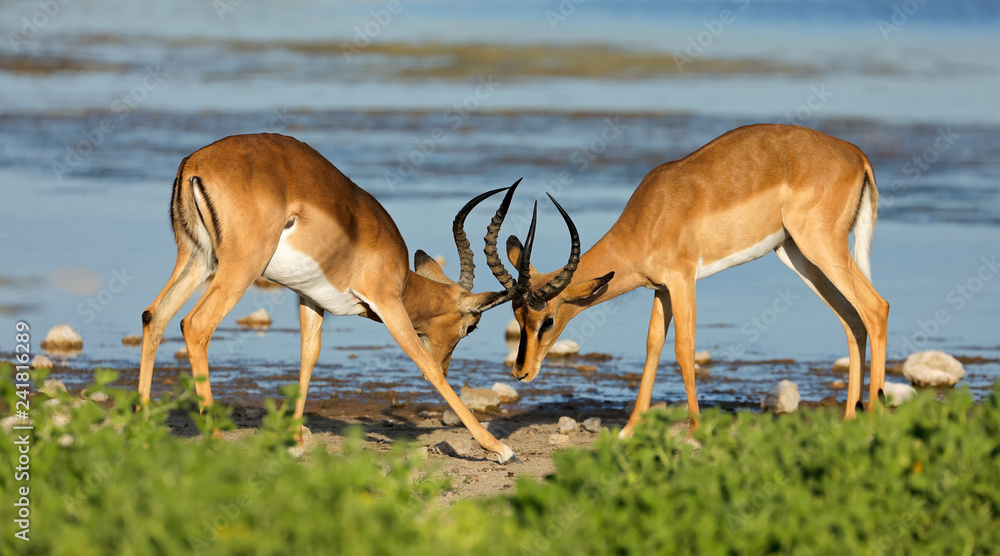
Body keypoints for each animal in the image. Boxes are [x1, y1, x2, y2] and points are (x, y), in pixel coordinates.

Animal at [138, 133, 530, 462]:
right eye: (470, 327)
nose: (448, 363)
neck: (401, 276)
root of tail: (193, 164)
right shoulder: (388, 302)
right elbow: (424, 365)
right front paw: (500, 448)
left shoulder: (310, 298)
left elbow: (308, 356)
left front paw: (296, 443)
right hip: (240, 268)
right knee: (195, 325)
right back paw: (215, 443)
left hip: (197, 259)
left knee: (154, 315)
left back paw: (140, 432)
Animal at [502, 124, 888, 437]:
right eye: (517, 316)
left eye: (547, 320)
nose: (521, 372)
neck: (648, 217)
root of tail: (856, 154)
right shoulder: (661, 290)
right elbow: (653, 345)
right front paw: (629, 429)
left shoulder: (683, 280)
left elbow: (683, 348)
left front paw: (695, 431)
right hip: (797, 255)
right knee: (852, 319)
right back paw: (849, 421)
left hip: (822, 246)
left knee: (876, 308)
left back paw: (873, 417)